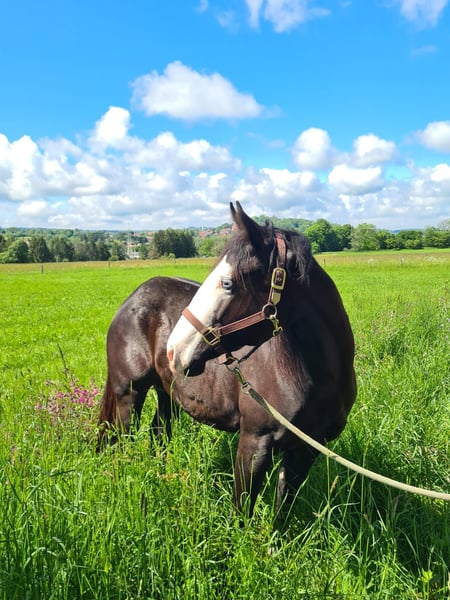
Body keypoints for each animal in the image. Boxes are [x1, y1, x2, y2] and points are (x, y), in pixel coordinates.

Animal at [99, 202, 356, 517]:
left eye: (227, 283)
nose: (174, 350)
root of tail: (131, 301)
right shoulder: (254, 442)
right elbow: (241, 511)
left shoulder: (306, 450)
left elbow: (282, 511)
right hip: (129, 394)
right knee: (121, 443)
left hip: (167, 393)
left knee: (158, 433)